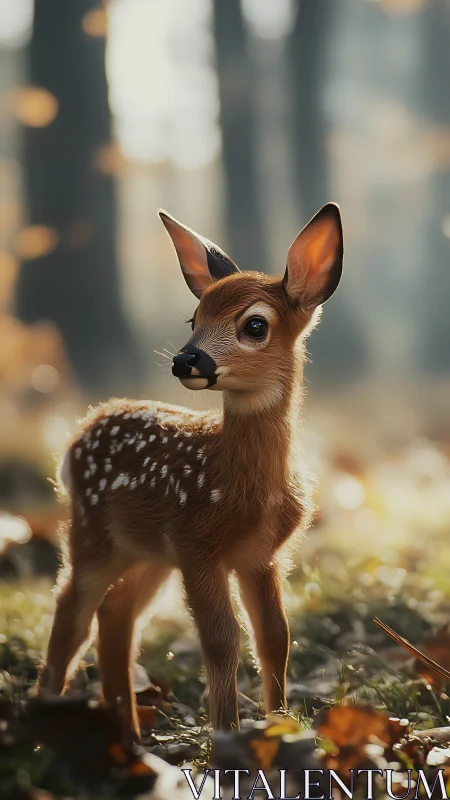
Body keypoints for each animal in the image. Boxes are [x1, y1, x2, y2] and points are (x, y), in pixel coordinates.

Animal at [38, 202, 343, 738]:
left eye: (255, 325)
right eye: (194, 317)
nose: (186, 359)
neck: (241, 488)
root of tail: (78, 434)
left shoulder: (261, 555)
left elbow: (275, 636)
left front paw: (279, 726)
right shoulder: (196, 543)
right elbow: (222, 639)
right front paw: (227, 737)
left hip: (148, 552)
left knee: (115, 615)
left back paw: (128, 736)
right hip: (93, 534)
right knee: (70, 613)